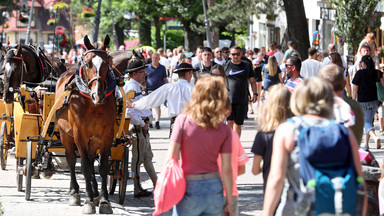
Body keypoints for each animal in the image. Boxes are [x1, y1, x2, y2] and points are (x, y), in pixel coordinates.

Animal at [55, 34, 115, 213]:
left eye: (107, 62)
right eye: (87, 63)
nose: (98, 94)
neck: (91, 103)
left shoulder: (106, 135)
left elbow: (102, 167)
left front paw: (104, 201)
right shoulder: (79, 135)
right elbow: (86, 167)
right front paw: (88, 201)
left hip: (93, 139)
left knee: (90, 156)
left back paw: (95, 192)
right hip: (65, 134)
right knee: (71, 160)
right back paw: (74, 192)